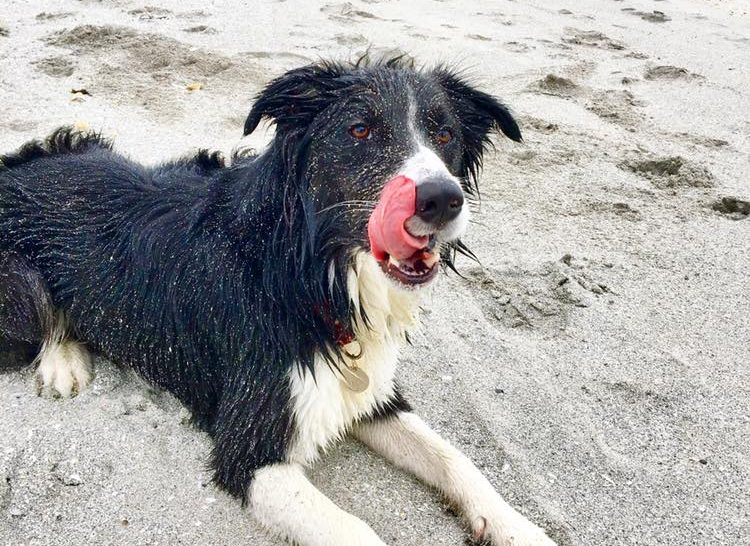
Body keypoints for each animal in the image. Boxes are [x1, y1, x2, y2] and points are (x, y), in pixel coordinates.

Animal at [1, 57, 560, 540]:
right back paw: (62, 362)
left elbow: (456, 458)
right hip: (23, 288)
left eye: (445, 134)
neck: (306, 275)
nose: (442, 199)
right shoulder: (249, 451)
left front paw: (517, 528)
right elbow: (356, 530)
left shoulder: (371, 394)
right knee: (45, 321)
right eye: (360, 130)